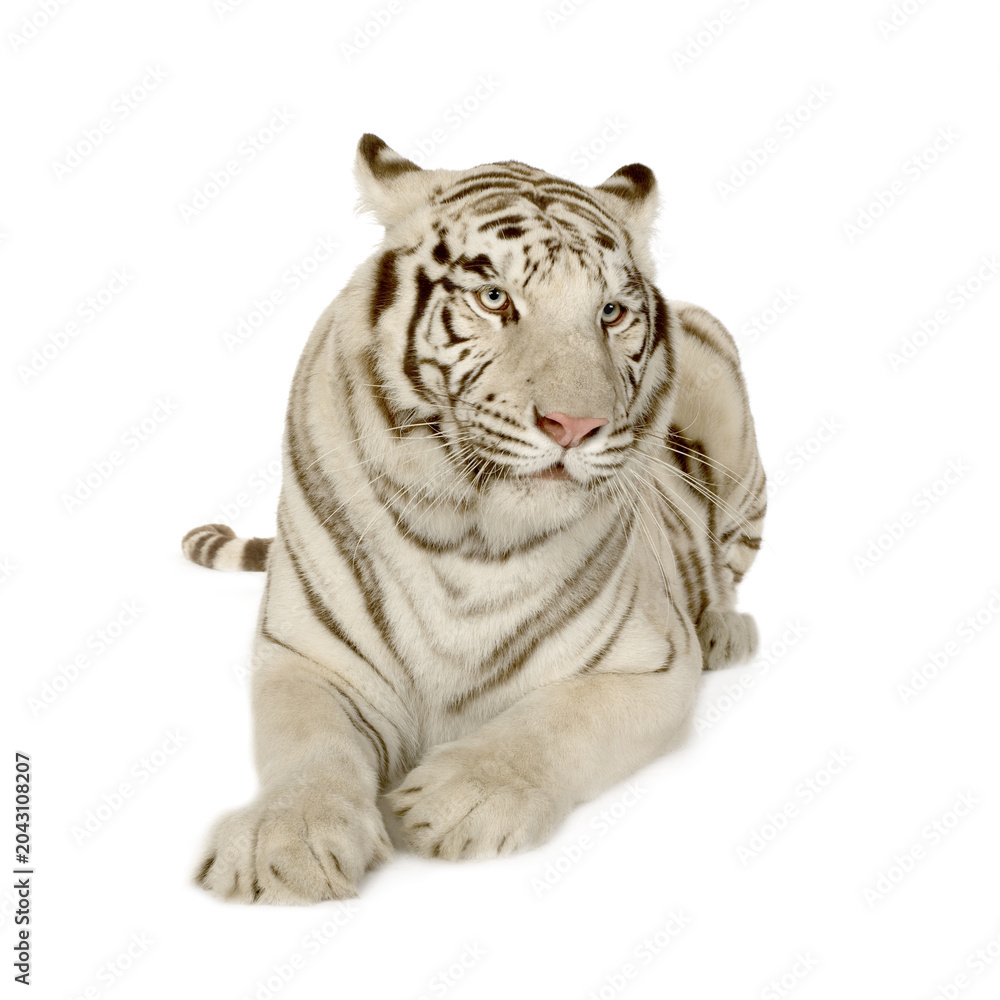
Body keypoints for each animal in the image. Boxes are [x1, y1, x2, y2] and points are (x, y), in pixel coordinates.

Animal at [183, 134, 766, 904]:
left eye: (611, 312)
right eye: (496, 299)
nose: (575, 425)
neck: (466, 531)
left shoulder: (653, 660)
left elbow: (556, 723)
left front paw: (462, 798)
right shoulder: (309, 654)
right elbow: (309, 746)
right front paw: (283, 844)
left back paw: (727, 630)